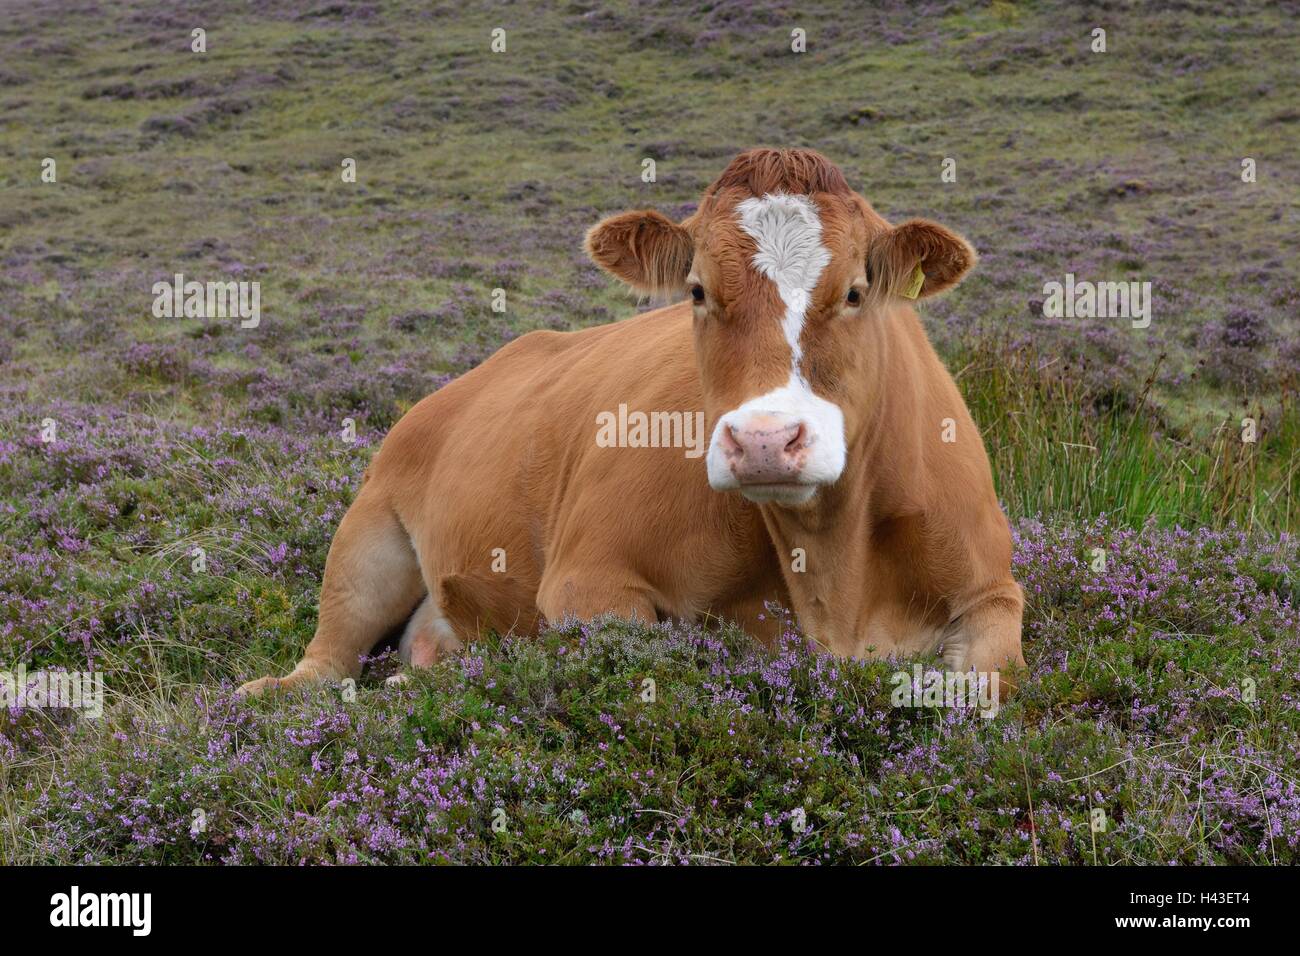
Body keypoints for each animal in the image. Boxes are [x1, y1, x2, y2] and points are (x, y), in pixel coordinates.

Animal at [236, 151, 1024, 702]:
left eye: (856, 292)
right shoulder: (587, 579)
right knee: (327, 658)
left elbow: (982, 685)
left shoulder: (993, 589)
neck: (834, 579)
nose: (764, 441)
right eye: (697, 292)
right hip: (368, 532)